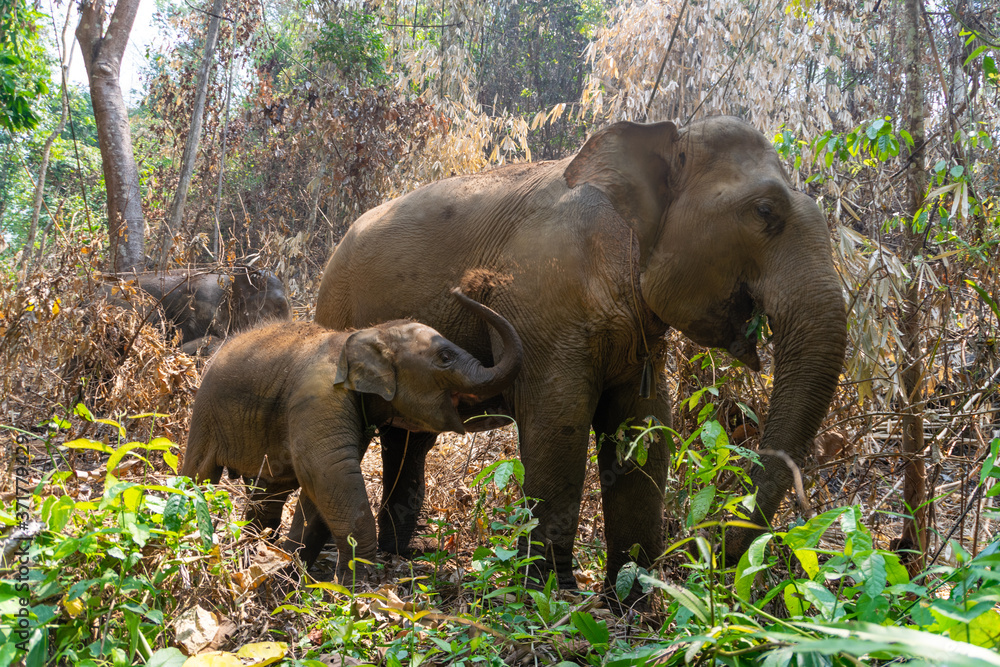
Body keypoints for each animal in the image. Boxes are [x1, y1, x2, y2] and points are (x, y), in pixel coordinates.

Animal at [181, 289, 523, 577]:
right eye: (445, 358)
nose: (459, 290)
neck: (366, 334)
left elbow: (322, 484)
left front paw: (293, 571)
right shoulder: (319, 397)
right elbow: (330, 472)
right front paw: (354, 588)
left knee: (270, 492)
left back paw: (253, 553)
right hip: (204, 411)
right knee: (198, 476)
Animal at [314, 116, 847, 598]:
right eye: (765, 211)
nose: (718, 555)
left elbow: (644, 430)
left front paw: (632, 598)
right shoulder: (543, 308)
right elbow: (559, 423)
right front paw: (553, 592)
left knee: (410, 440)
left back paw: (399, 555)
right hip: (337, 311)